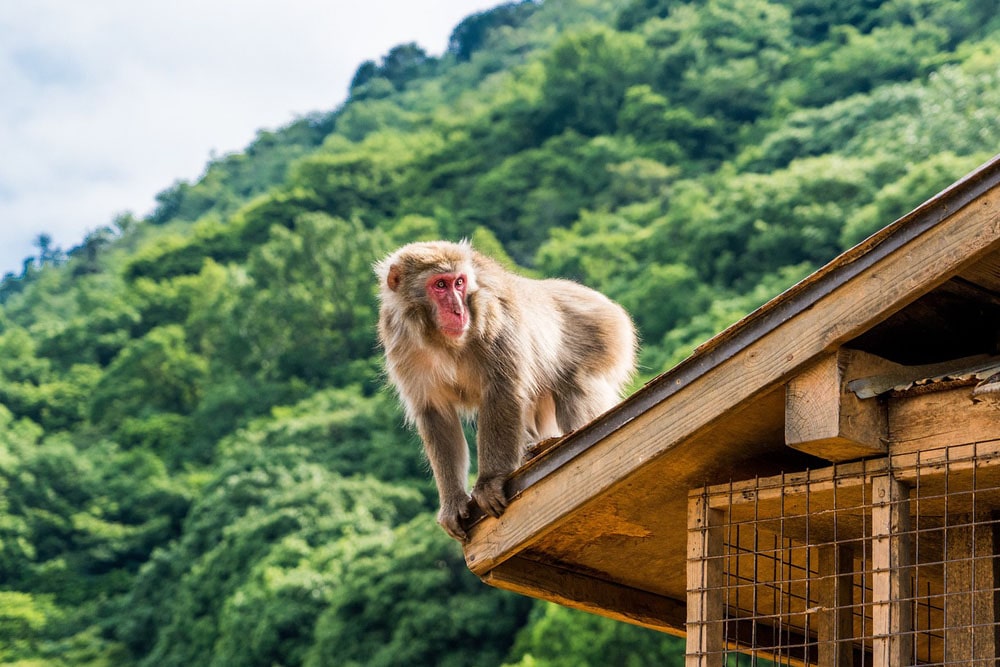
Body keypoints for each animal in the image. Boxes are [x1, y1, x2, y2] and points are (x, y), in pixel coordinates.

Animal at [372, 241, 636, 544]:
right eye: (440, 285)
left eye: (459, 283)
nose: (459, 310)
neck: (441, 340)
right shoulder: (401, 343)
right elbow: (436, 415)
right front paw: (452, 501)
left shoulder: (493, 319)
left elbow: (502, 390)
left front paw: (490, 481)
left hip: (606, 336)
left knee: (576, 386)